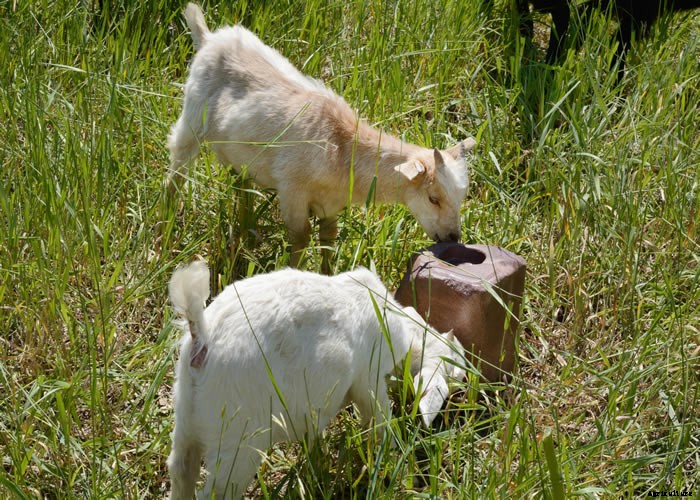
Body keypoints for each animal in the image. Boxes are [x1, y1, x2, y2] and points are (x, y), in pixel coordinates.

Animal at [167, 3, 475, 273]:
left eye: (461, 196)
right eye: (433, 198)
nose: (453, 237)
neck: (341, 149)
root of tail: (209, 38)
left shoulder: (331, 205)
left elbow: (328, 240)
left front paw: (328, 277)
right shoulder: (292, 189)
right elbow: (301, 237)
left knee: (242, 186)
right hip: (191, 120)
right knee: (176, 171)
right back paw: (164, 227)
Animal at [167, 261, 466, 499]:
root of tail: (202, 340)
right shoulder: (368, 378)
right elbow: (379, 417)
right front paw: (394, 456)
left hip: (186, 417)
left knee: (181, 469)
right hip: (238, 437)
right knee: (215, 491)